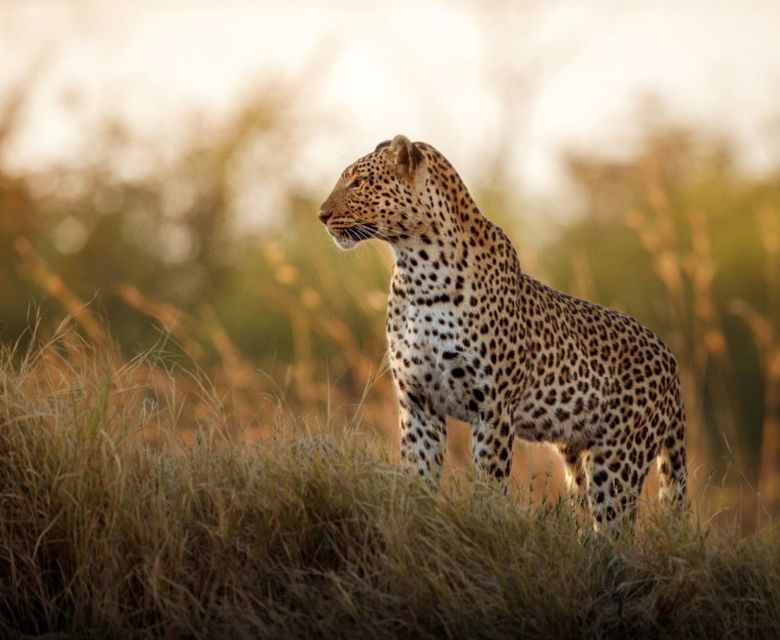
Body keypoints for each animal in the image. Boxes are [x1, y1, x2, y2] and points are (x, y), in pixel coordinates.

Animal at [318, 134, 687, 532]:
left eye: (358, 182)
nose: (321, 215)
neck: (418, 270)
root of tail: (671, 360)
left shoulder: (492, 407)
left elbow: (488, 486)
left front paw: (482, 526)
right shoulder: (418, 402)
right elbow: (418, 479)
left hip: (618, 459)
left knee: (616, 530)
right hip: (577, 456)